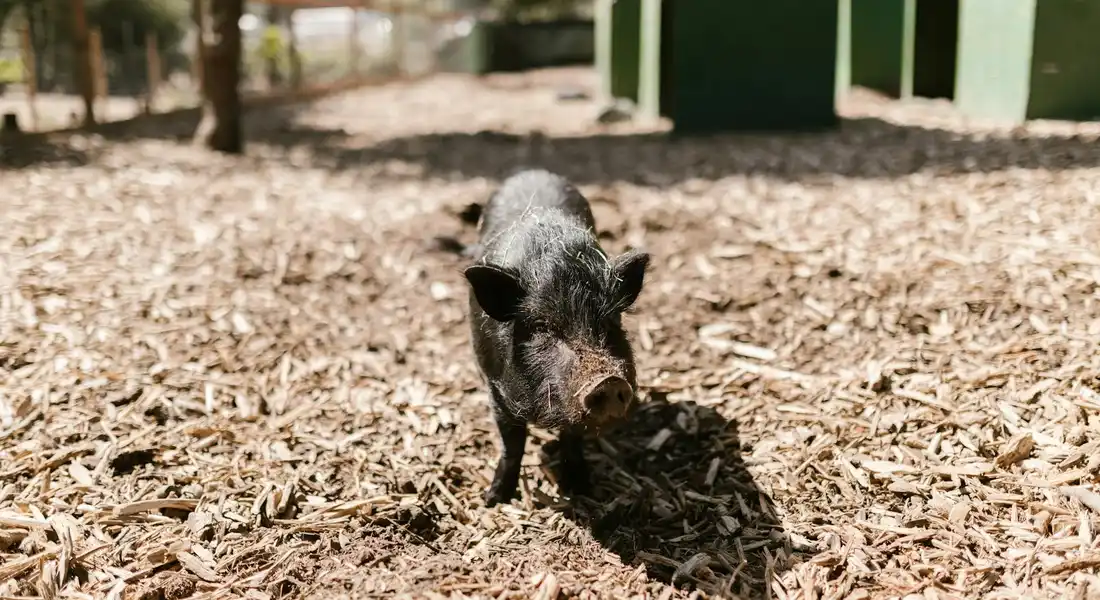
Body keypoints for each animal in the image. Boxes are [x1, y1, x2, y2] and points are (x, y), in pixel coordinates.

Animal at [460, 169, 649, 507]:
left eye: (611, 319)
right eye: (542, 326)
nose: (608, 381)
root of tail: (530, 171)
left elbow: (571, 437)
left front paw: (582, 488)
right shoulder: (494, 389)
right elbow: (512, 443)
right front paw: (494, 500)